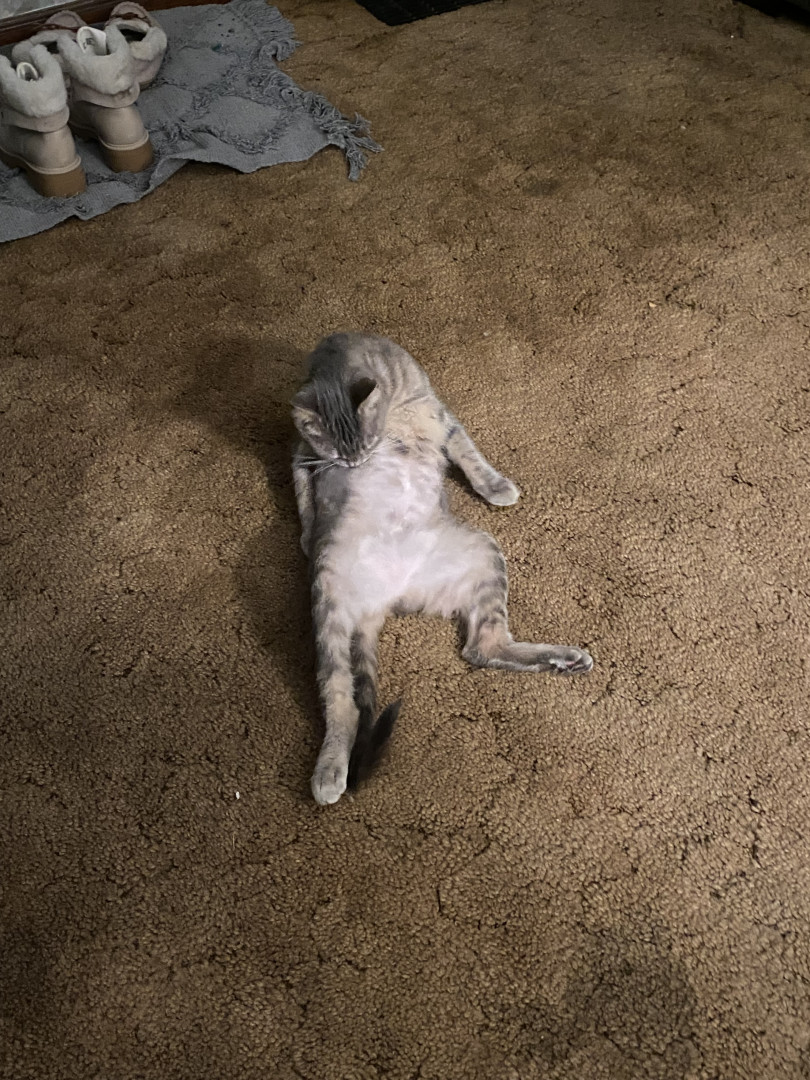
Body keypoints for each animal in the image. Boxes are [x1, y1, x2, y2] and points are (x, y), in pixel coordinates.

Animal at [292, 333, 593, 805]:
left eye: (369, 440)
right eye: (346, 451)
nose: (356, 463)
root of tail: (385, 599)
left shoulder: (439, 414)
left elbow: (468, 451)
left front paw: (495, 485)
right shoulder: (304, 454)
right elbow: (303, 492)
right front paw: (307, 534)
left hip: (482, 553)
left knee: (482, 648)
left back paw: (563, 659)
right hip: (329, 607)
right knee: (340, 699)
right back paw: (330, 769)